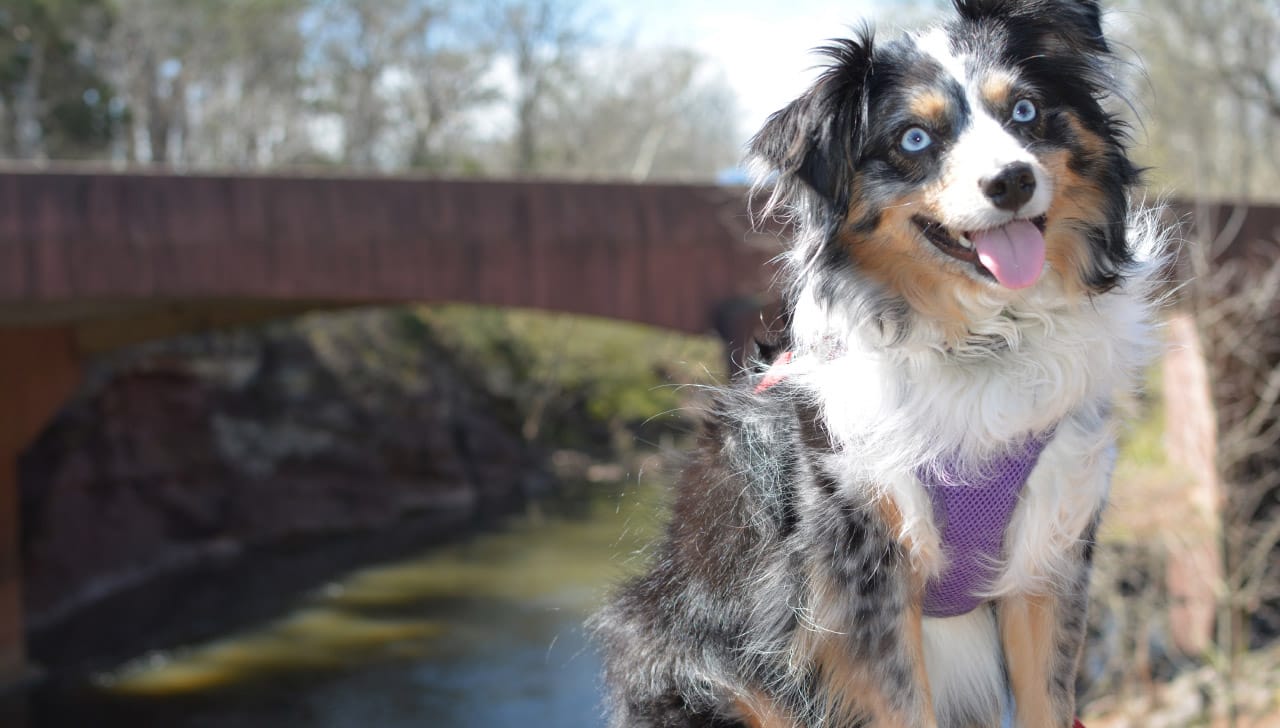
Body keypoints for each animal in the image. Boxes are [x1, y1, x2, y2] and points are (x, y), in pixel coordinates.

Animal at [593, 1, 1167, 726]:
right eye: (914, 139)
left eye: (1026, 111)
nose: (1012, 181)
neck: (981, 340)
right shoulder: (861, 579)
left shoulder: (1048, 555)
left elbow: (1048, 698)